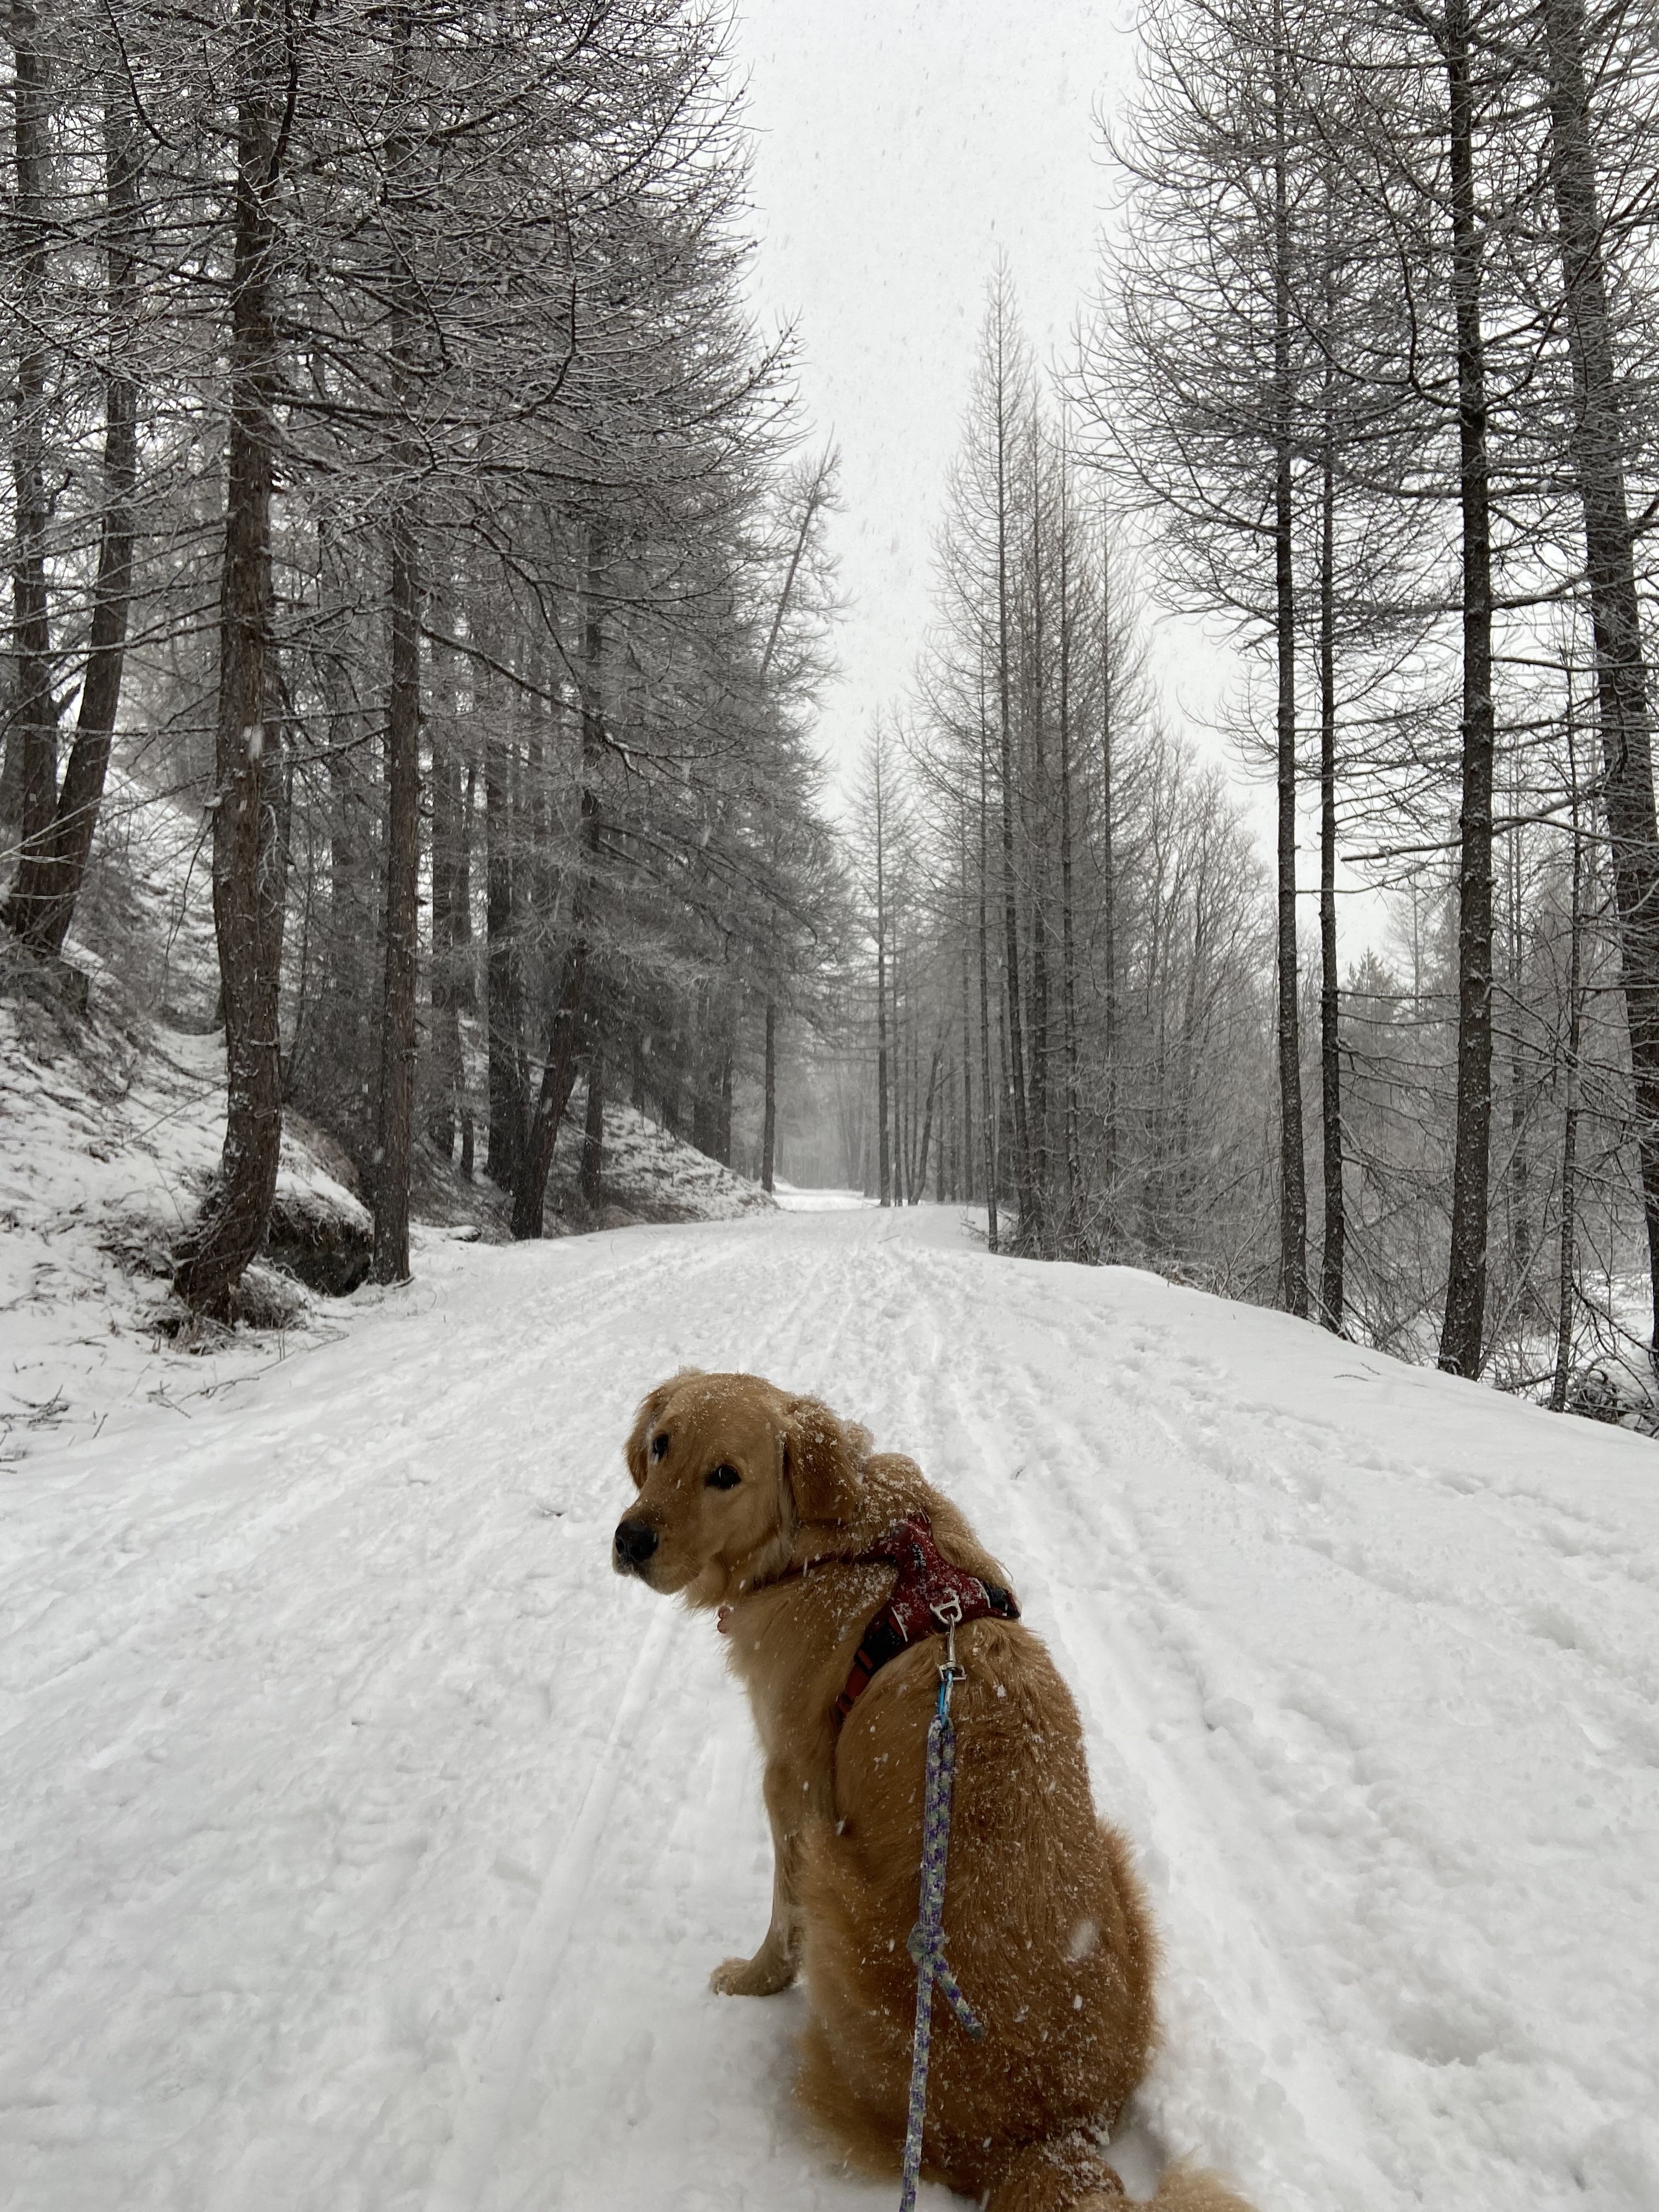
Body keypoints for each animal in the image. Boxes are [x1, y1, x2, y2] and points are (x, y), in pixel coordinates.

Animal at [619, 1371, 1256, 2203]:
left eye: (725, 1475)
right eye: (662, 1445)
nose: (629, 1541)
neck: (837, 1539)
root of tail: (1058, 2140)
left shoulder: (791, 1783)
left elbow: (782, 1921)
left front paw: (754, 1980)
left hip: (836, 1878)